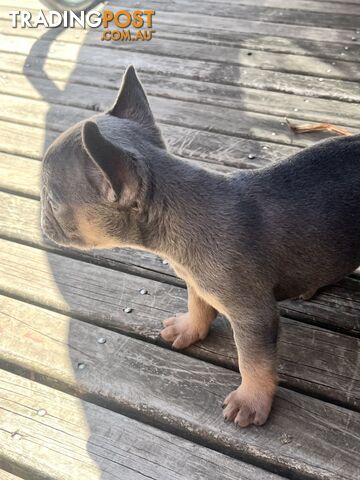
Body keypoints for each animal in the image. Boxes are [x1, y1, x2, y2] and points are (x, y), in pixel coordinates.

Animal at [40, 64, 360, 428]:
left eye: (53, 201)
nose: (42, 214)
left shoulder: (253, 316)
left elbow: (253, 361)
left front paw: (251, 398)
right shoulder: (197, 280)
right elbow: (198, 302)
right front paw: (190, 327)